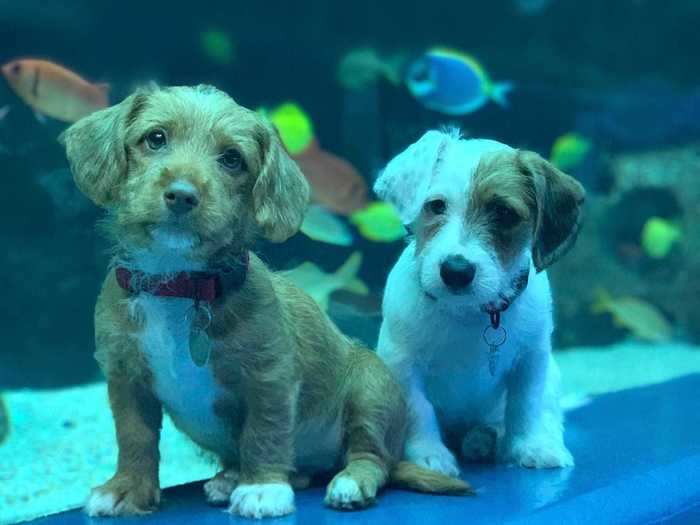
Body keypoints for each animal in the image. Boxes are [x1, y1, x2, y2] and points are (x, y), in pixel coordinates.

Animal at [61, 84, 470, 516]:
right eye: (155, 138)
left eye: (231, 158)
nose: (182, 196)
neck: (179, 285)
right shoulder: (125, 379)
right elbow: (134, 438)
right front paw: (127, 488)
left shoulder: (269, 377)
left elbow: (264, 432)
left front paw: (262, 487)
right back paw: (232, 478)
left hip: (371, 389)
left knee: (372, 457)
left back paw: (348, 482)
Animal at [374, 129, 584, 472]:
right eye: (436, 206)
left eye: (504, 213)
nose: (456, 271)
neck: (467, 313)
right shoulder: (401, 363)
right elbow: (419, 410)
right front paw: (429, 454)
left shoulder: (532, 358)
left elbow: (526, 406)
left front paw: (530, 444)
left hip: (552, 376)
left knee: (545, 413)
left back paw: (494, 438)